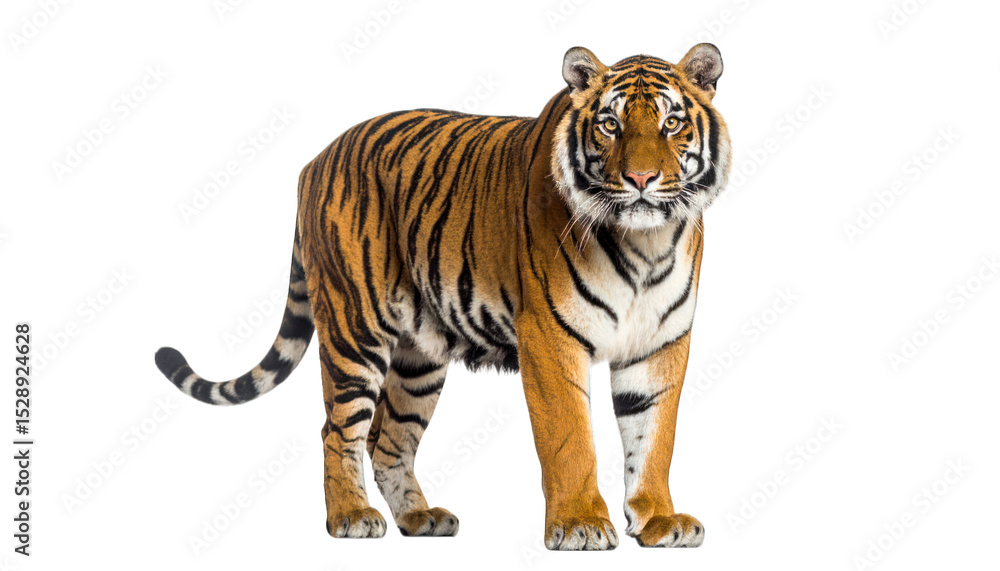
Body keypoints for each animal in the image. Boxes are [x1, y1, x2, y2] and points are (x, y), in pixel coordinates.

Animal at [155, 43, 731, 550]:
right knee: (337, 430)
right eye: (610, 125)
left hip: (419, 357)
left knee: (387, 438)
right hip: (353, 329)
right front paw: (580, 525)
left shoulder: (660, 345)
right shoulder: (550, 338)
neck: (645, 244)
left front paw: (659, 521)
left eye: (671, 123)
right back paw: (350, 516)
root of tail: (315, 160)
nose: (641, 178)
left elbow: (653, 438)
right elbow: (570, 440)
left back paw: (419, 518)